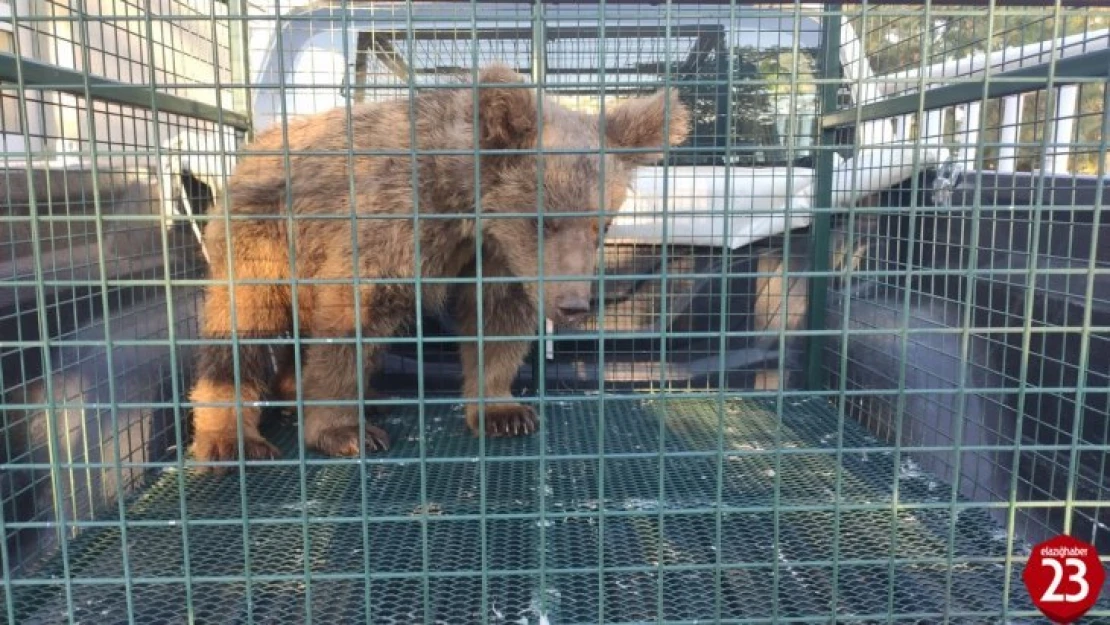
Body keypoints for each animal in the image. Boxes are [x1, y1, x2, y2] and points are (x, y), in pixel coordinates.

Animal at [189, 66, 688, 472]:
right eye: (544, 219)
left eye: (601, 225)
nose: (573, 305)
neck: (463, 207)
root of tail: (255, 146)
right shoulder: (391, 222)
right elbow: (351, 321)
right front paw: (343, 431)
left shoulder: (498, 256)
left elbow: (498, 321)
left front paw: (503, 410)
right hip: (264, 236)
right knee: (242, 326)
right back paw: (231, 435)